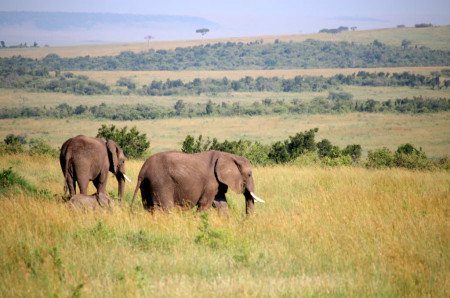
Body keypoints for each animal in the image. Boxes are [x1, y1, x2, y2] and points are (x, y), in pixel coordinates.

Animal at [130, 150, 264, 215]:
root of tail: (143, 170)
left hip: (147, 184)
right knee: (165, 208)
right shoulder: (211, 182)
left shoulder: (217, 183)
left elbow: (221, 204)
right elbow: (205, 205)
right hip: (160, 183)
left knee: (149, 207)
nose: (245, 220)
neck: (228, 155)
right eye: (249, 174)